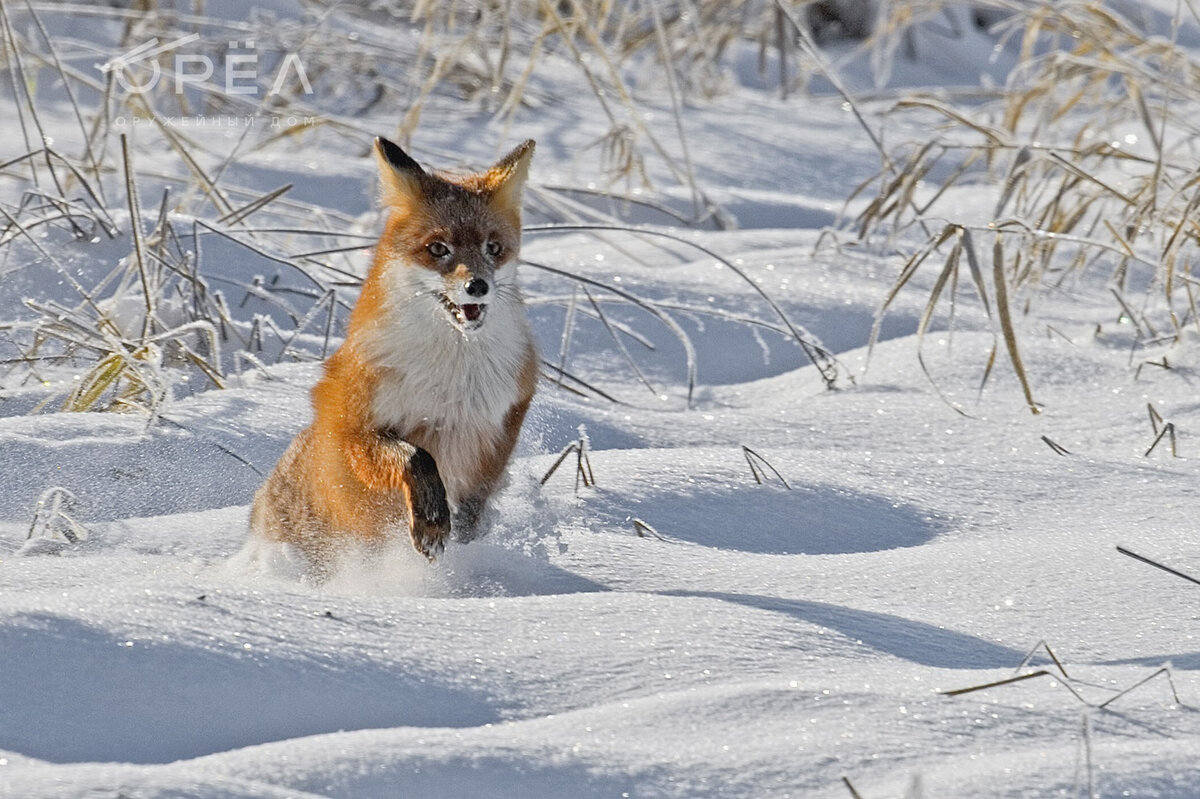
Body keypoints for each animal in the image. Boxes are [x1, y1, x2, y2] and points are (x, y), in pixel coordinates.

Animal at [248, 138, 540, 573]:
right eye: (437, 248)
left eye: (494, 248)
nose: (478, 286)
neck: (449, 380)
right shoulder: (354, 428)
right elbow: (416, 458)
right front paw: (432, 522)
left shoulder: (502, 426)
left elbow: (476, 502)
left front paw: (464, 533)